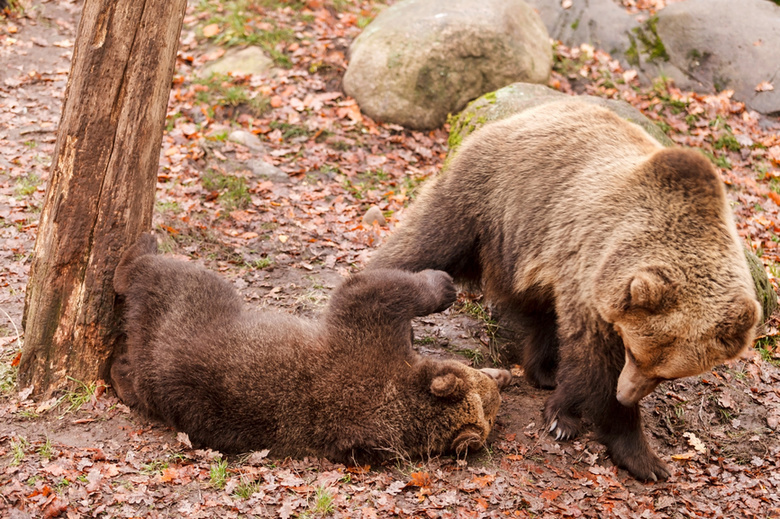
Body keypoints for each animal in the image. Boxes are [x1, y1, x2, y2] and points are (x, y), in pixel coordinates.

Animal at [111, 234, 512, 462]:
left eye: (491, 411)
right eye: (487, 396)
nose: (500, 379)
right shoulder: (367, 333)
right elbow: (372, 288)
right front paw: (443, 284)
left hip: (171, 359)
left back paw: (119, 371)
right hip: (199, 308)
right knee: (168, 274)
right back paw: (138, 250)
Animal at [368, 99, 760, 482]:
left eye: (665, 374)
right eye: (635, 354)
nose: (626, 393)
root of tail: (524, 110)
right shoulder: (591, 272)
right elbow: (593, 360)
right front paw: (630, 448)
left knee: (541, 310)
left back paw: (542, 369)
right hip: (492, 198)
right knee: (427, 242)